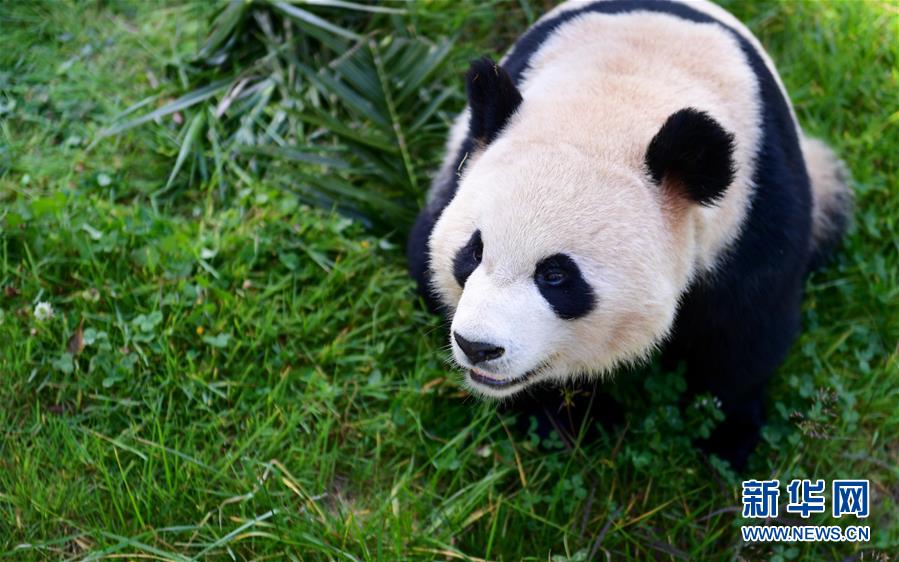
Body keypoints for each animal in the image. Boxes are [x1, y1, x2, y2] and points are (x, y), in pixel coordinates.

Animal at [406, 0, 852, 464]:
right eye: (473, 252)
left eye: (555, 275)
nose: (477, 346)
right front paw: (570, 419)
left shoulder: (756, 207)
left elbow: (747, 329)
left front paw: (725, 438)